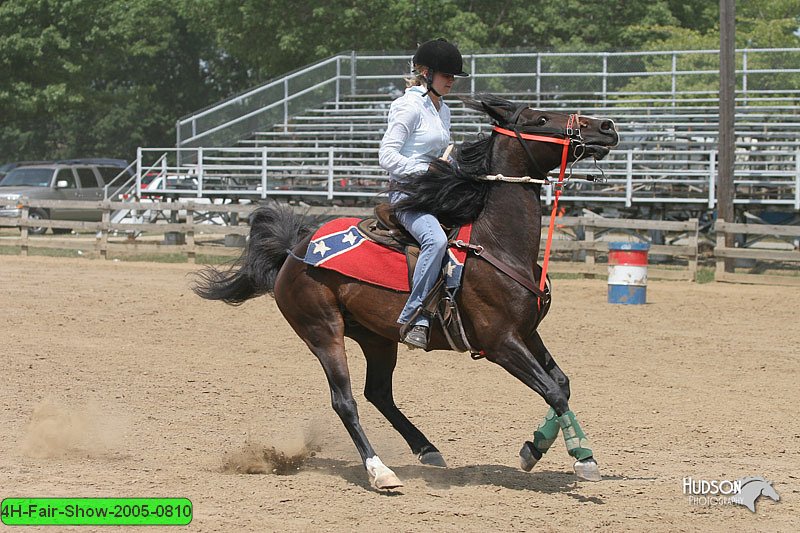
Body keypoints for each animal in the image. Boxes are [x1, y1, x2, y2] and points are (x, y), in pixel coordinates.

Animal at [194, 93, 620, 488]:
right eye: (541, 119)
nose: (606, 127)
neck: (497, 244)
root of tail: (294, 252)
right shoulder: (501, 342)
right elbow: (553, 391)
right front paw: (582, 457)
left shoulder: (528, 332)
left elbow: (561, 383)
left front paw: (535, 447)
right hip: (322, 331)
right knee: (345, 401)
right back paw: (379, 471)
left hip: (377, 337)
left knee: (378, 393)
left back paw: (427, 449)